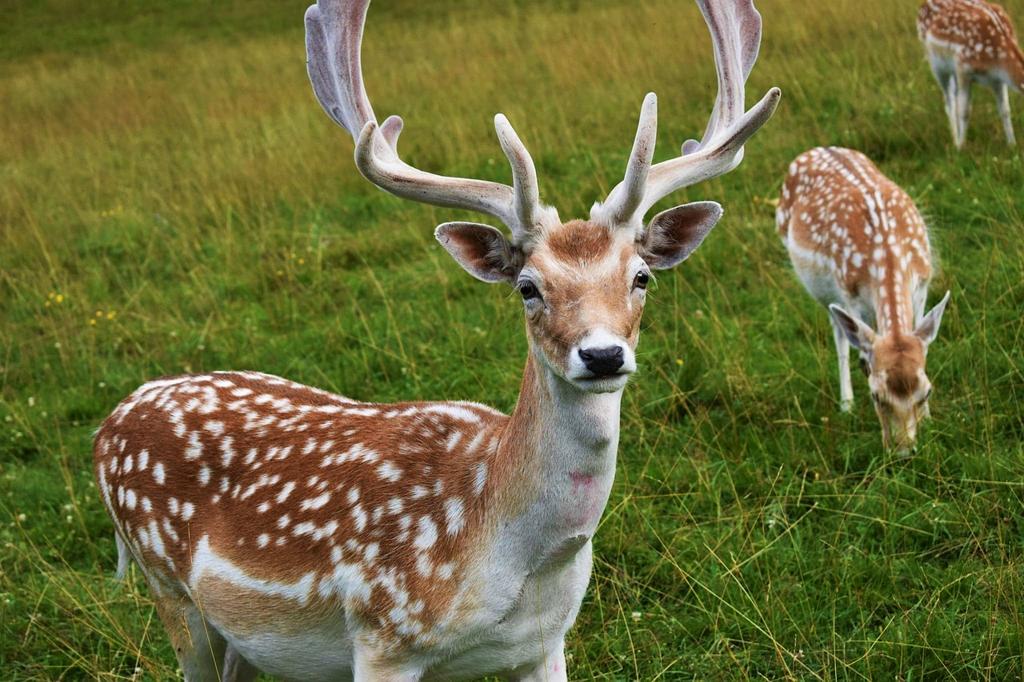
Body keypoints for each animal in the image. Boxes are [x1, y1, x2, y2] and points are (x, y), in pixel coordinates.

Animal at [96, 1, 778, 679]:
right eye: (527, 287)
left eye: (641, 277)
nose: (603, 354)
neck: (517, 558)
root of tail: (112, 422)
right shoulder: (383, 635)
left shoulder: (547, 641)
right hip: (170, 589)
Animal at [774, 146, 950, 448]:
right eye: (876, 395)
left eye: (926, 391)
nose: (904, 449)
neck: (887, 253)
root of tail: (816, 149)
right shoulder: (850, 294)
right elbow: (860, 352)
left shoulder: (923, 284)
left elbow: (923, 341)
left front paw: (928, 419)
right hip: (826, 291)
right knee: (839, 334)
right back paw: (846, 404)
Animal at [917, 0, 1024, 147]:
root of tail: (923, 5)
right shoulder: (963, 69)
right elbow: (964, 111)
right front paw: (962, 147)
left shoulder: (997, 79)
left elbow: (1005, 110)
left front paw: (1012, 144)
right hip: (935, 63)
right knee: (949, 102)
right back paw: (955, 142)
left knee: (954, 96)